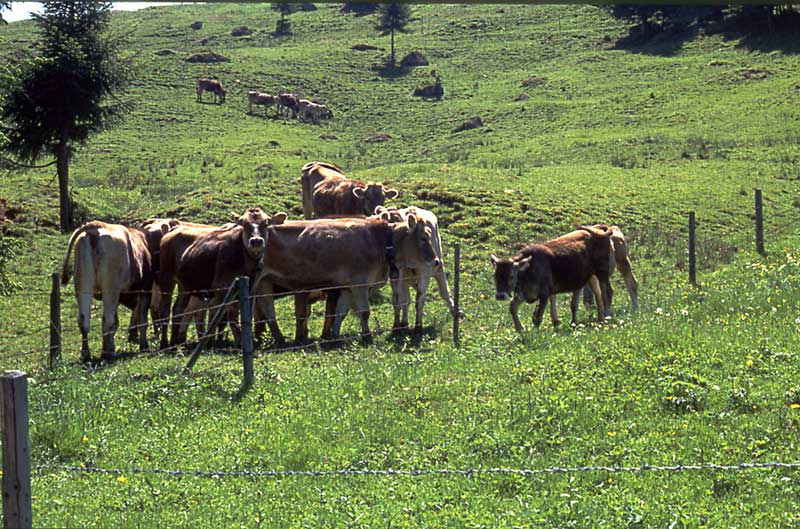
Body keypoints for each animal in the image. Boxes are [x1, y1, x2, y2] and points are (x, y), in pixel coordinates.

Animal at [61, 219, 155, 358]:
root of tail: (95, 227)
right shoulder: (145, 291)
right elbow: (142, 321)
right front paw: (144, 346)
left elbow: (116, 324)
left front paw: (112, 346)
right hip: (110, 289)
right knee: (107, 319)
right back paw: (106, 353)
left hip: (83, 285)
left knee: (83, 320)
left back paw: (86, 354)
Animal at [255, 213, 438, 342]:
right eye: (424, 238)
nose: (436, 261)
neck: (381, 241)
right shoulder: (359, 284)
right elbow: (364, 312)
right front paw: (367, 336)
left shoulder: (347, 287)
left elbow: (340, 312)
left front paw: (334, 335)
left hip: (265, 282)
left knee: (268, 310)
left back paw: (279, 339)